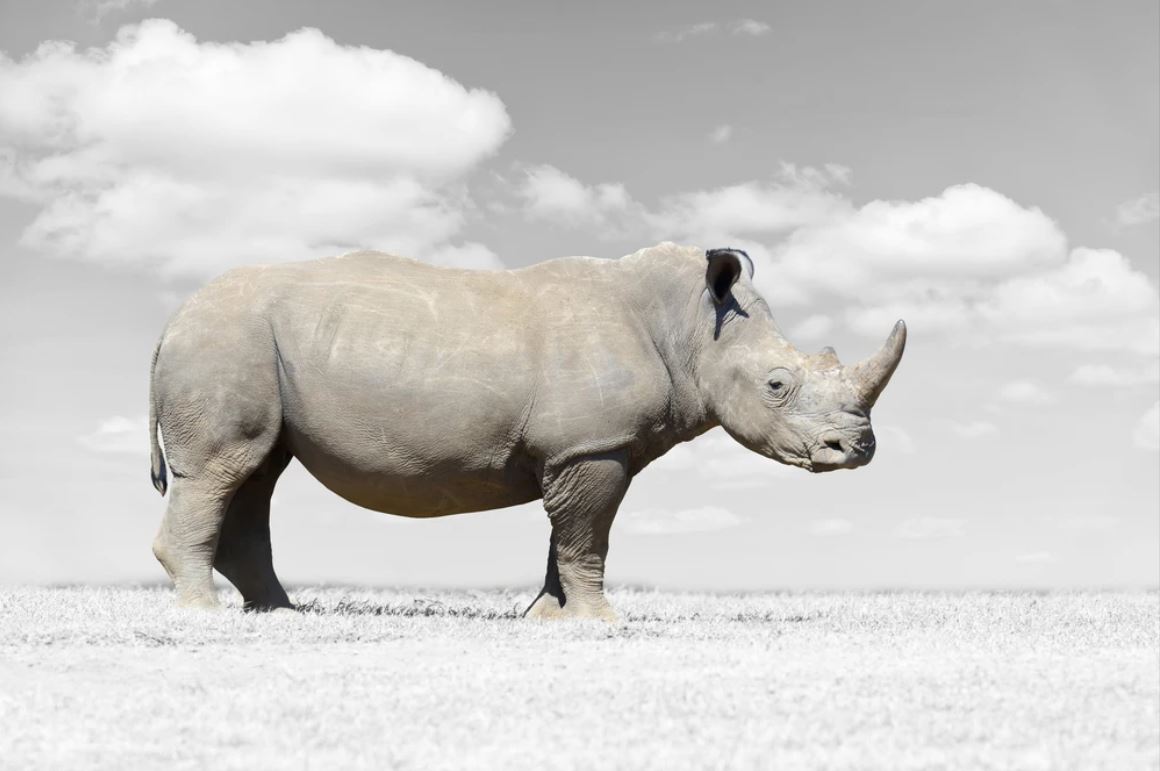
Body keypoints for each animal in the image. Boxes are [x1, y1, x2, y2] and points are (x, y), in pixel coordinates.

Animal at [148, 242, 905, 620]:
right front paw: (600, 622)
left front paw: (546, 617)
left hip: (243, 343)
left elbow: (565, 534)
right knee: (223, 470)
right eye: (777, 385)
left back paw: (280, 613)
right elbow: (588, 534)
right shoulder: (594, 445)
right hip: (226, 338)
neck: (692, 326)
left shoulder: (580, 447)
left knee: (256, 473)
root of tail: (173, 315)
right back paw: (204, 613)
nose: (857, 450)